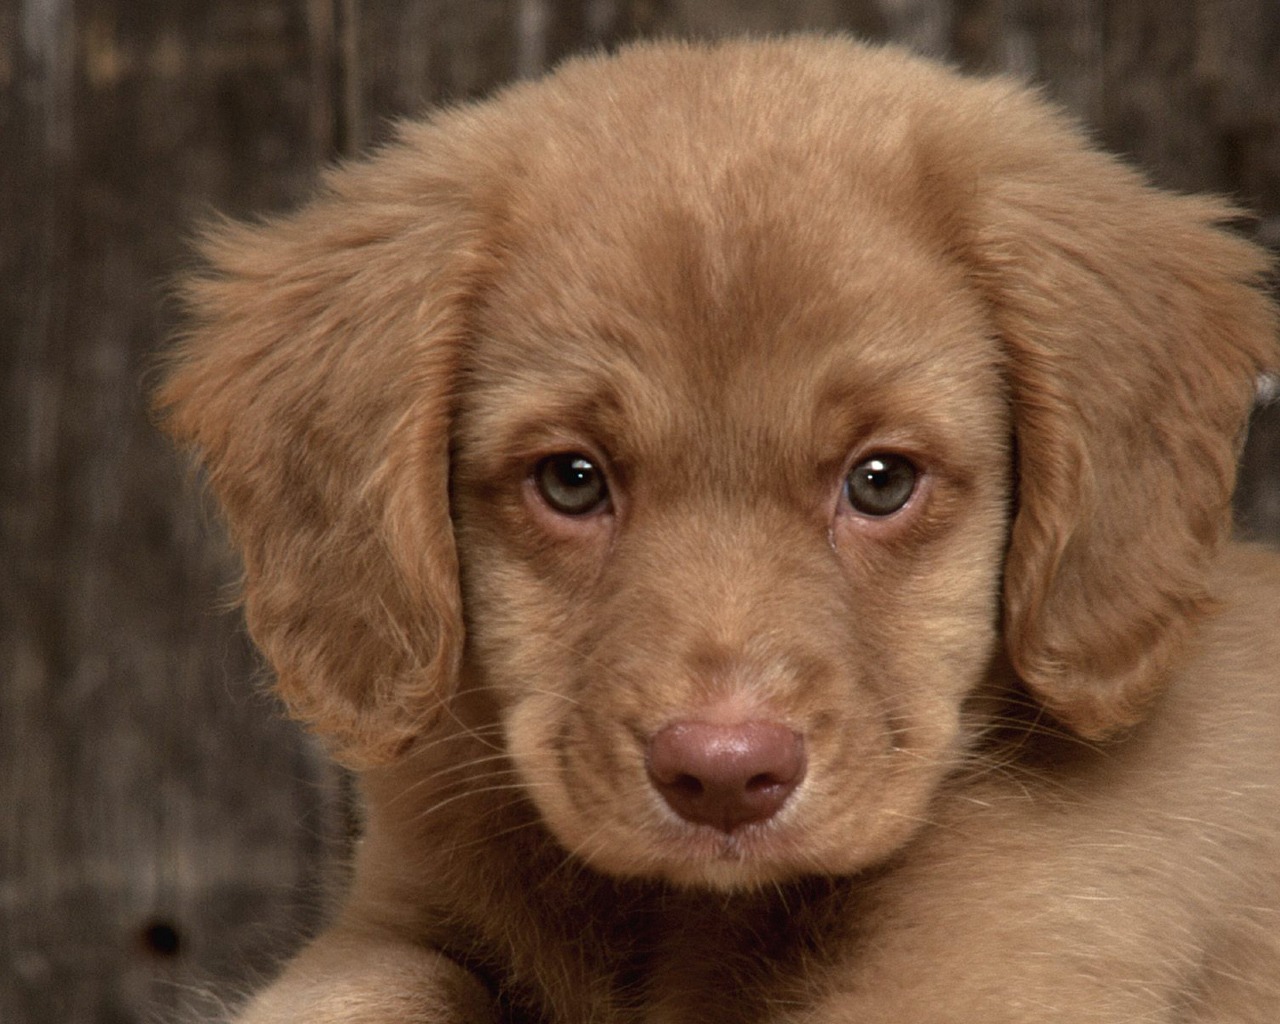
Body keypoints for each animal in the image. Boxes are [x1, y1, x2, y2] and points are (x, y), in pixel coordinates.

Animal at [157, 36, 1280, 1024]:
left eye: (881, 482)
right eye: (571, 481)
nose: (725, 776)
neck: (681, 917)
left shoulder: (1006, 961)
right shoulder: (395, 920)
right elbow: (363, 987)